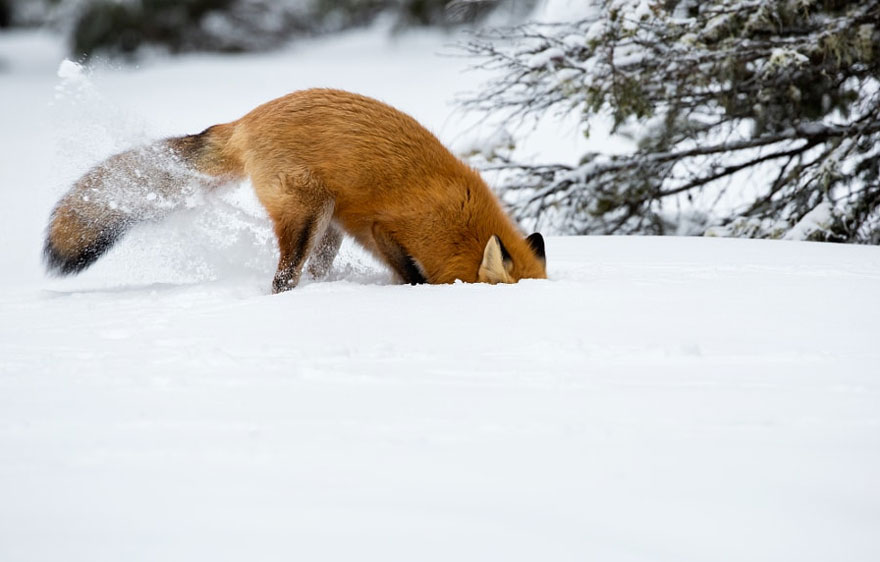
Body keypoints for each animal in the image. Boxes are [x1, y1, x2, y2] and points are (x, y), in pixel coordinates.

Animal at [44, 88, 547, 292]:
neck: (460, 222)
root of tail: (246, 119)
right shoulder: (386, 230)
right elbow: (412, 275)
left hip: (328, 226)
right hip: (306, 216)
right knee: (281, 281)